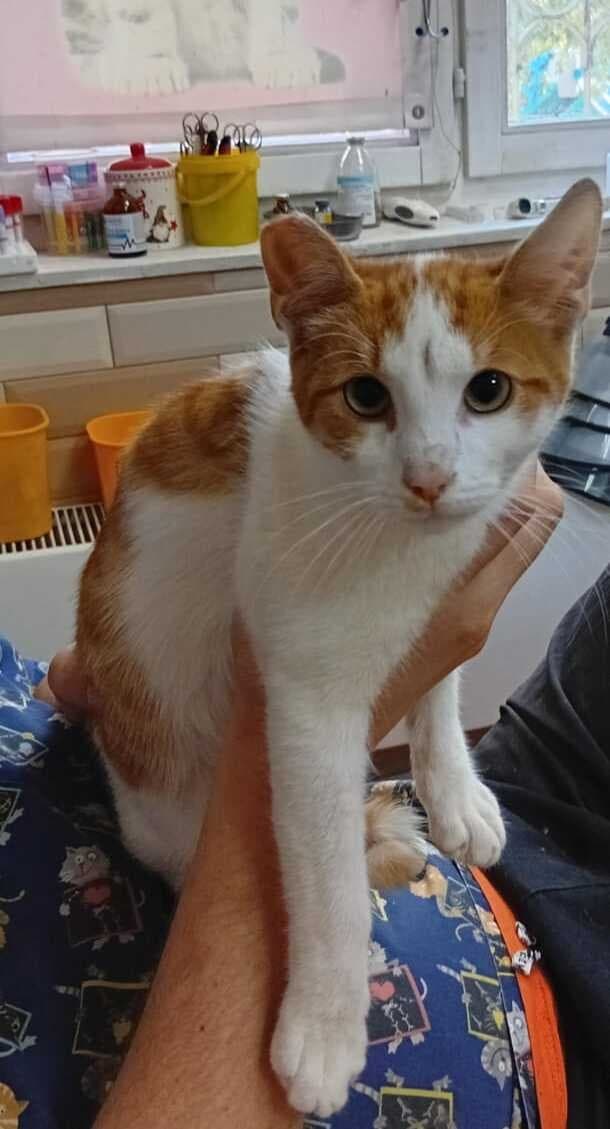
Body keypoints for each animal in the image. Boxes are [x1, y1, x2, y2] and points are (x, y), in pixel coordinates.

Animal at [76, 179, 601, 1116]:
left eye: (489, 390)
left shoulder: (452, 581)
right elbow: (323, 874)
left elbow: (440, 678)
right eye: (365, 397)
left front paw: (452, 786)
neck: (399, 542)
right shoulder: (303, 695)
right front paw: (324, 1023)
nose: (428, 479)